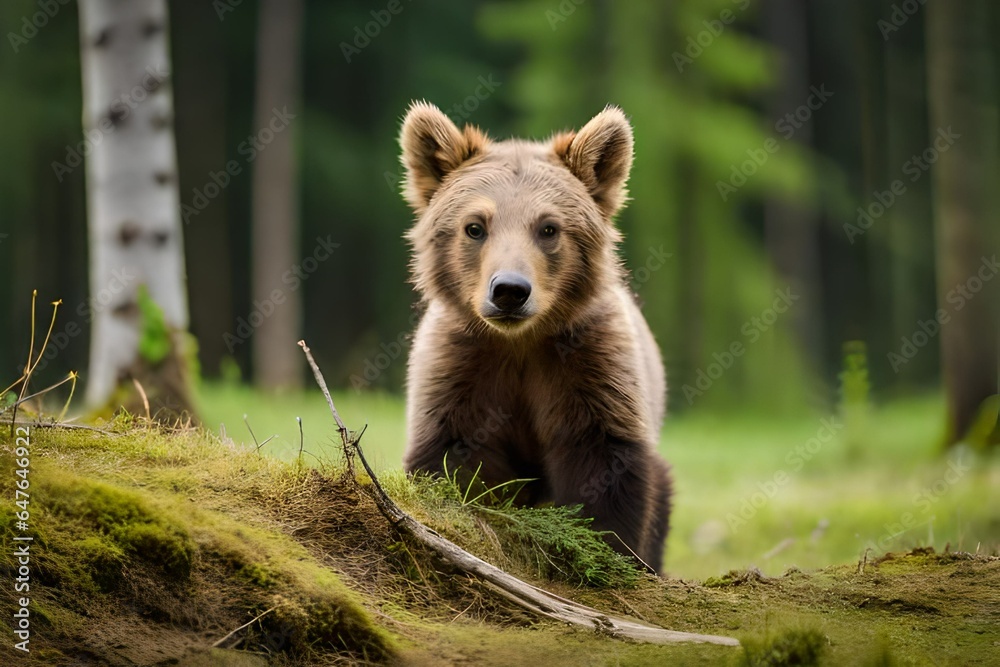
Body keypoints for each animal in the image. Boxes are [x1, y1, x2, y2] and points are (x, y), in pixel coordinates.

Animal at [398, 101, 673, 574]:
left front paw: (602, 551)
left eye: (548, 228)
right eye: (475, 226)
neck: (521, 343)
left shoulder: (590, 370)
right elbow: (456, 460)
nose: (509, 290)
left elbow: (603, 469)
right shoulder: (462, 368)